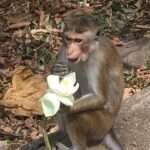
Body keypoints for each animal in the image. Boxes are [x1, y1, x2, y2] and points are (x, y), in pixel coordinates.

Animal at [51, 9, 124, 150]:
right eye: (69, 39)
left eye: (78, 40)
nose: (71, 50)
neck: (89, 52)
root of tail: (109, 128)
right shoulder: (63, 50)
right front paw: (56, 71)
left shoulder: (99, 60)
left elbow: (98, 98)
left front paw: (64, 106)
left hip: (102, 124)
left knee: (77, 114)